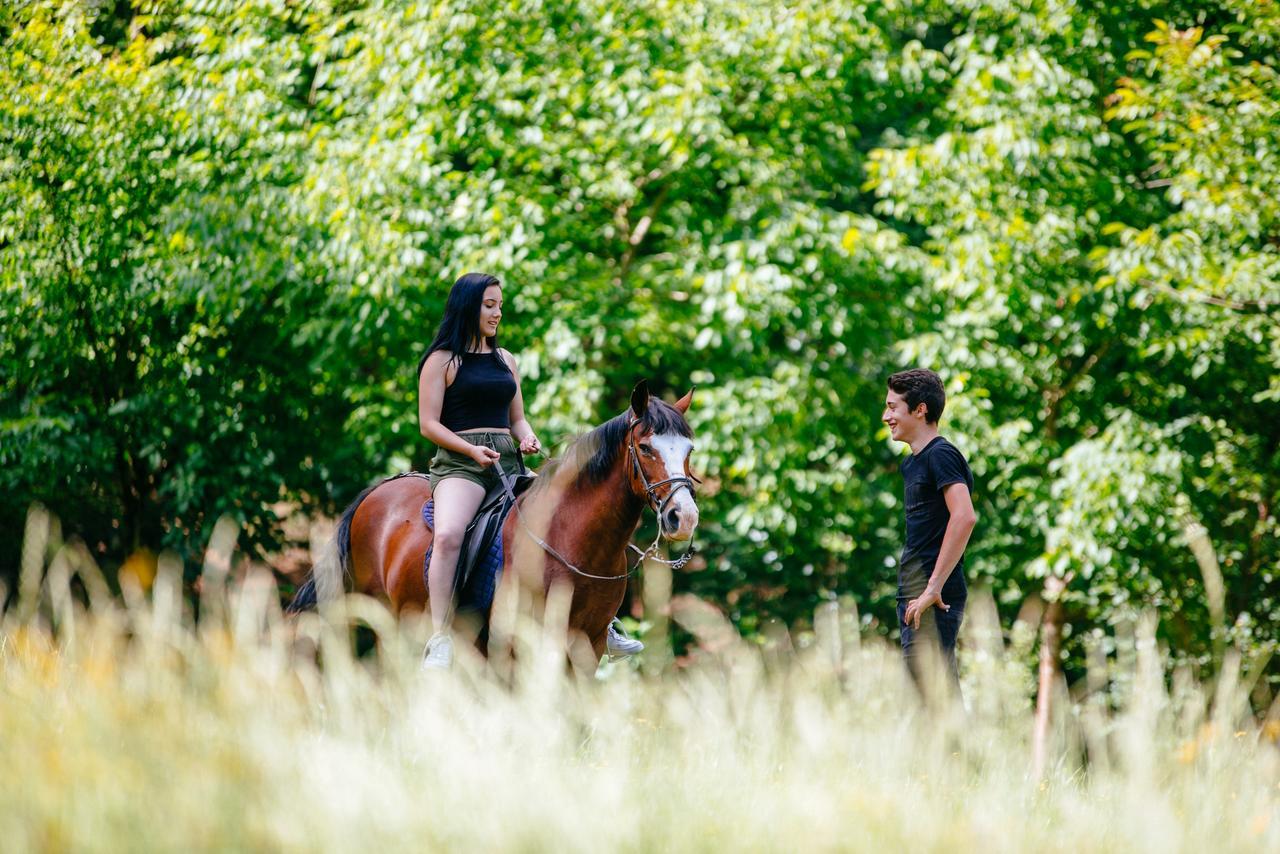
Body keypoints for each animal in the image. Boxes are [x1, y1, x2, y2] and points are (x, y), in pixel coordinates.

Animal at [289, 381, 696, 665]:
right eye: (645, 448)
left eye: (689, 450)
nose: (685, 517)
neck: (570, 539)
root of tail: (377, 491)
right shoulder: (517, 648)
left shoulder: (587, 645)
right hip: (387, 626)